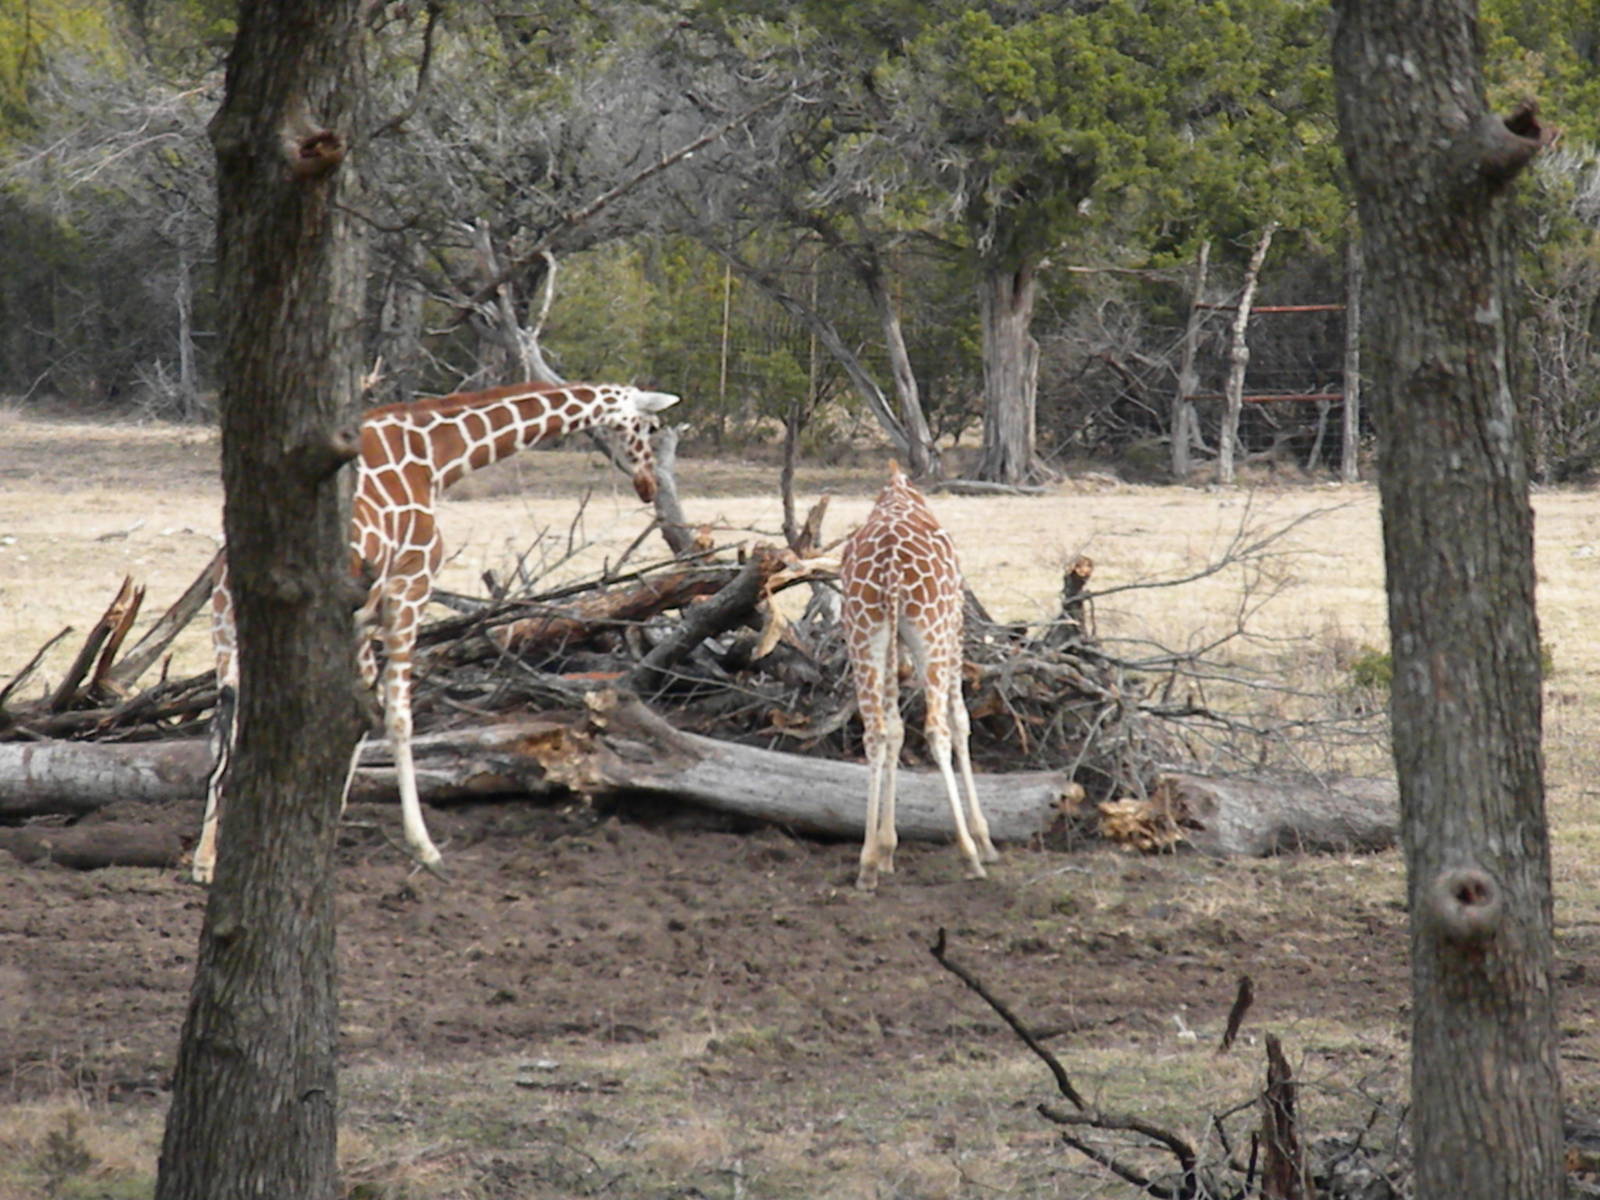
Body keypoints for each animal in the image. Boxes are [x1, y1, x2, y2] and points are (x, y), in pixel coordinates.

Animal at [192, 380, 680, 884]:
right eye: (651, 427)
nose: (648, 487)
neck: (435, 459)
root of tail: (231, 573)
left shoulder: (363, 620)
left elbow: (356, 720)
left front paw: (332, 819)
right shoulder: (408, 593)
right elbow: (395, 718)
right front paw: (423, 847)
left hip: (225, 633)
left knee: (223, 727)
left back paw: (205, 859)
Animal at [839, 462, 998, 891]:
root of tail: (891, 570)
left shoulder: (892, 642)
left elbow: (894, 730)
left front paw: (886, 849)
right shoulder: (955, 627)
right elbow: (960, 721)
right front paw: (985, 840)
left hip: (863, 634)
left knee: (876, 731)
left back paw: (866, 865)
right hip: (932, 633)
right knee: (936, 729)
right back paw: (970, 855)